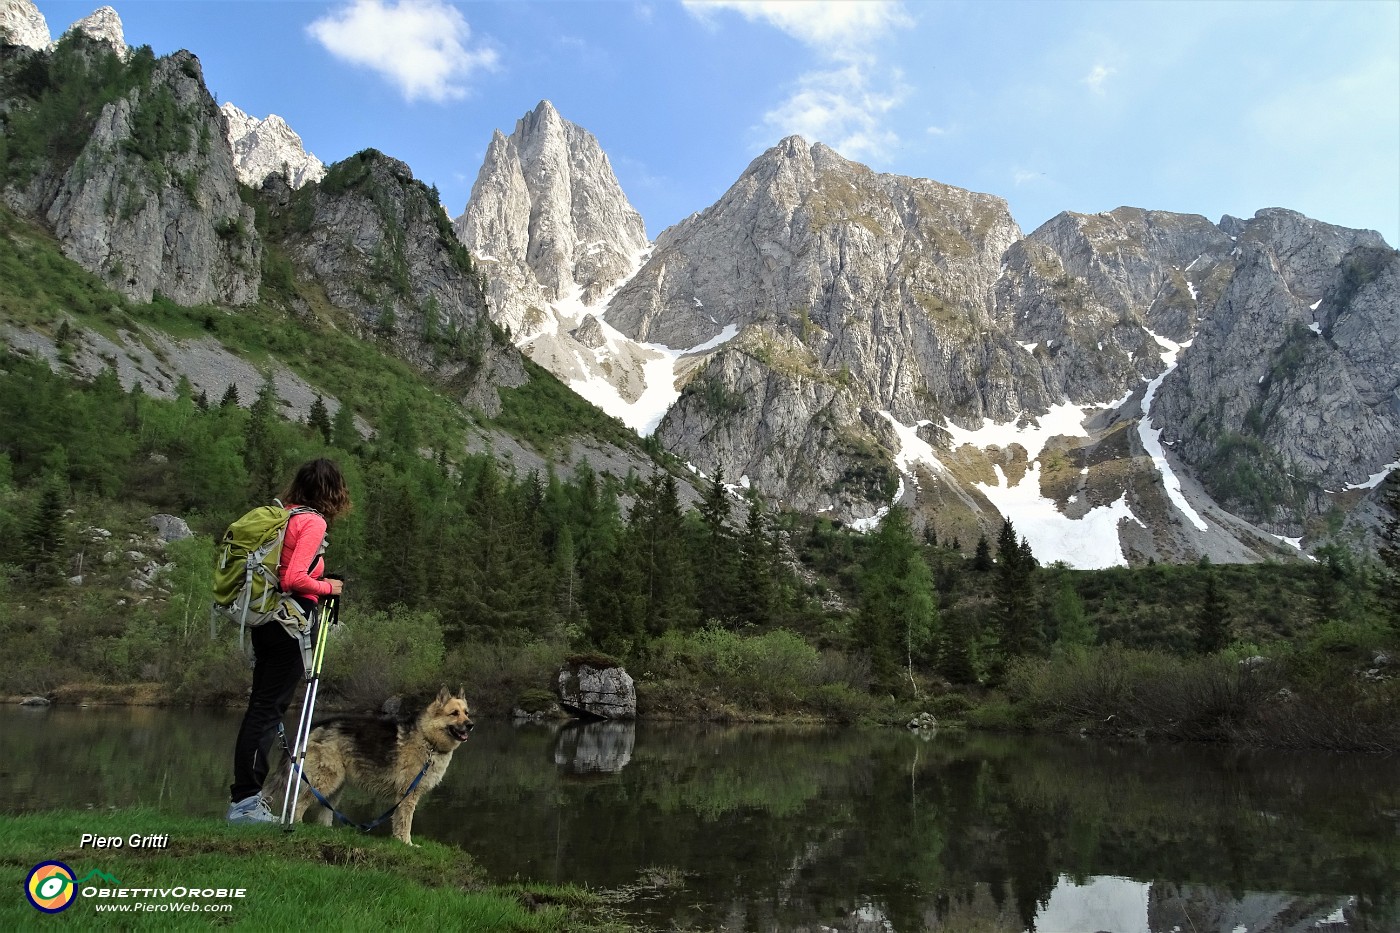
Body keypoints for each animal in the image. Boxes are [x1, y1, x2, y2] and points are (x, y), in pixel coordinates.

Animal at [277, 683, 476, 840]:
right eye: (454, 713)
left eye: (466, 713)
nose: (471, 725)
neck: (428, 739)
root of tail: (314, 726)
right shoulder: (408, 794)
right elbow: (406, 822)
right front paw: (407, 843)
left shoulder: (403, 797)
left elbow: (398, 822)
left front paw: (399, 841)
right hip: (325, 781)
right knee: (297, 804)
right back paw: (297, 826)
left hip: (336, 786)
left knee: (323, 813)